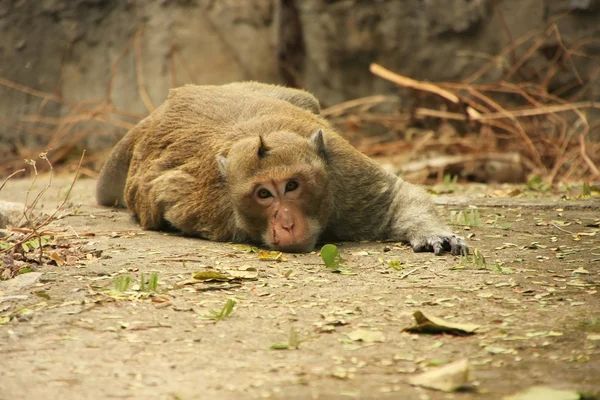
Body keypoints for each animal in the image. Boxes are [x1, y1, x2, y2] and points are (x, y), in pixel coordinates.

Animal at [96, 82, 466, 255]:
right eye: (263, 194)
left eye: (292, 186)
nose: (285, 222)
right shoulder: (201, 208)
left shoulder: (347, 181)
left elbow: (394, 198)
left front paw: (433, 233)